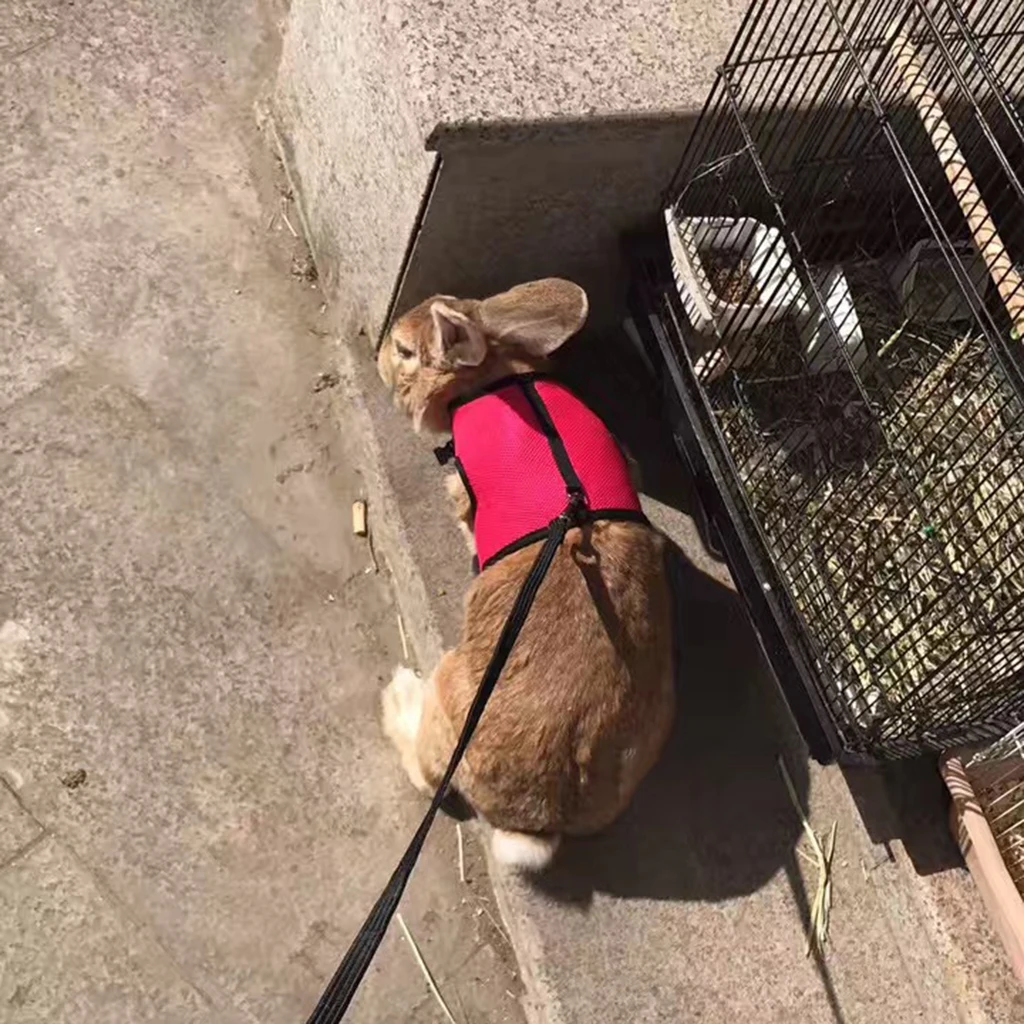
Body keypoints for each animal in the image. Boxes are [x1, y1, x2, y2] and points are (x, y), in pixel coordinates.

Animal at [377, 278, 675, 871]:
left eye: (404, 351)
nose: (377, 358)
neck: (493, 375)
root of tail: (538, 818)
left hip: (451, 691)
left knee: (427, 775)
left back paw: (398, 699)